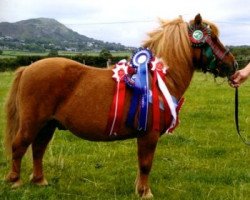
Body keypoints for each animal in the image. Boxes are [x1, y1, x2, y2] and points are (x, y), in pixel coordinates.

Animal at [4, 14, 237, 198]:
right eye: (212, 38)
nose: (233, 65)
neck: (158, 78)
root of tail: (28, 68)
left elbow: (142, 164)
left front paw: (139, 189)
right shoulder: (149, 135)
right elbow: (146, 164)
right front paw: (145, 192)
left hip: (48, 125)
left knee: (38, 149)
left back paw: (40, 181)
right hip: (32, 122)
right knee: (20, 146)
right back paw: (15, 181)